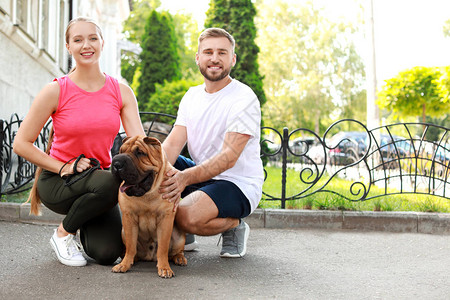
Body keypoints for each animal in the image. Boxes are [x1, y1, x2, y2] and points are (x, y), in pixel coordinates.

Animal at [110, 135, 186, 278]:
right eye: (120, 151)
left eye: (140, 152)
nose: (116, 163)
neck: (148, 195)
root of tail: (150, 257)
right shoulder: (129, 218)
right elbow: (131, 246)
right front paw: (124, 265)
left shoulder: (165, 219)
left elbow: (162, 247)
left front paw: (164, 268)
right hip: (123, 231)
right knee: (132, 249)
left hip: (179, 237)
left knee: (176, 252)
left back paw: (179, 258)